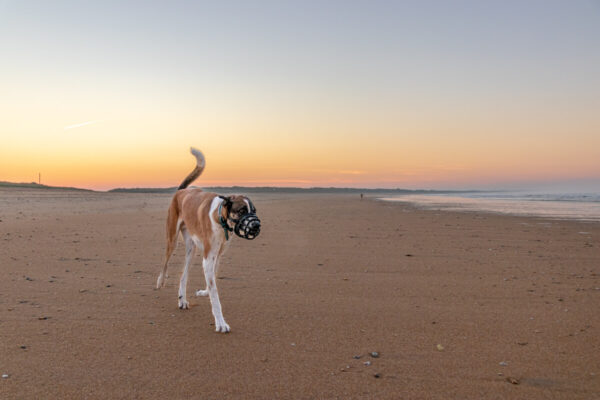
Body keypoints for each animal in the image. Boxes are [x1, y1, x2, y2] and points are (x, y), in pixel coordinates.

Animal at [155, 148, 260, 332]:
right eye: (241, 210)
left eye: (253, 211)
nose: (256, 226)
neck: (220, 218)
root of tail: (181, 191)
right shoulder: (208, 257)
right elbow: (215, 295)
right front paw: (220, 322)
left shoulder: (217, 254)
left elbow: (213, 277)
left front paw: (205, 292)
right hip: (172, 240)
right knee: (165, 261)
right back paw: (161, 281)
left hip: (191, 249)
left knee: (183, 275)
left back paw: (182, 300)